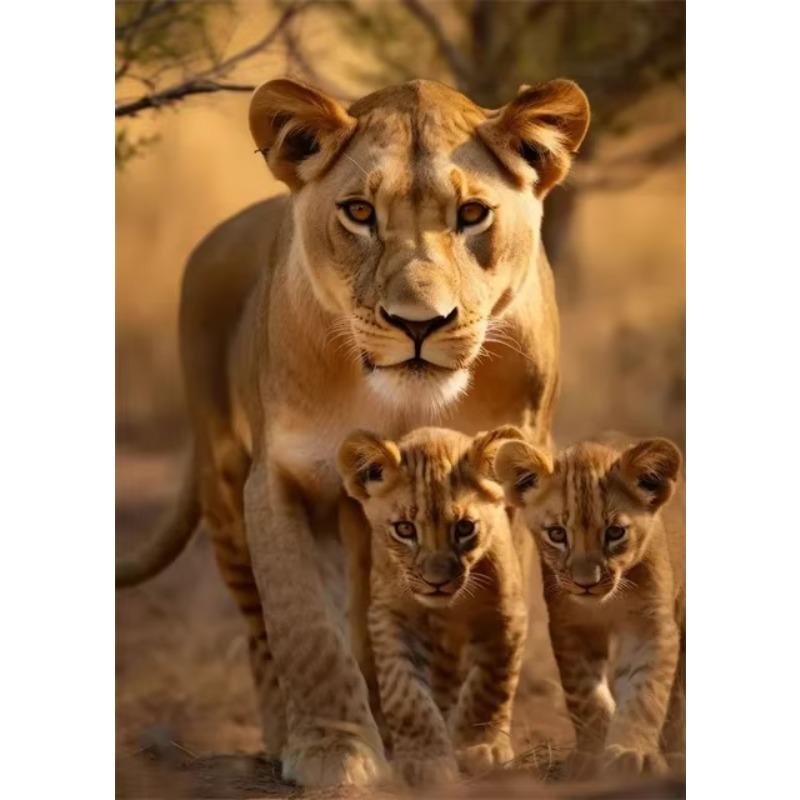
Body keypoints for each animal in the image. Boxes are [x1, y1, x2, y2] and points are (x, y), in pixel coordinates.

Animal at [337, 426, 529, 786]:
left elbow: (490, 684)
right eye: (405, 529)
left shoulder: (506, 613)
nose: (435, 581)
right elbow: (405, 693)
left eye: (464, 528)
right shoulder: (389, 615)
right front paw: (424, 760)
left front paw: (478, 747)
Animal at [494, 432, 685, 777]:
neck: (608, 603)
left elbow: (645, 693)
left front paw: (631, 752)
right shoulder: (570, 625)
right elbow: (584, 694)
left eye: (615, 532)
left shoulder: (651, 625)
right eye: (557, 534)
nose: (586, 583)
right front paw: (592, 753)